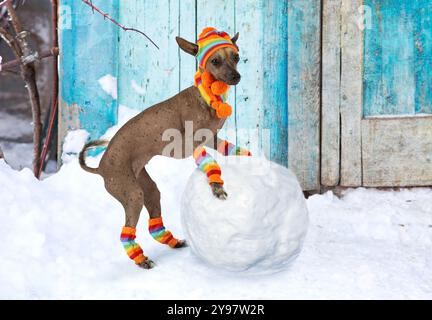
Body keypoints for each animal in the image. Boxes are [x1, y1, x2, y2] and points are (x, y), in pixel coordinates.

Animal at [77, 29, 246, 268]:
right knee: (125, 233)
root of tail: (100, 168)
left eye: (236, 56)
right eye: (215, 61)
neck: (206, 96)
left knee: (153, 226)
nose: (236, 77)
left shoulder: (211, 139)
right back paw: (141, 260)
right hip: (133, 194)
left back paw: (172, 242)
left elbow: (231, 149)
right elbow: (210, 163)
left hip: (147, 188)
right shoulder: (191, 145)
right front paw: (217, 187)